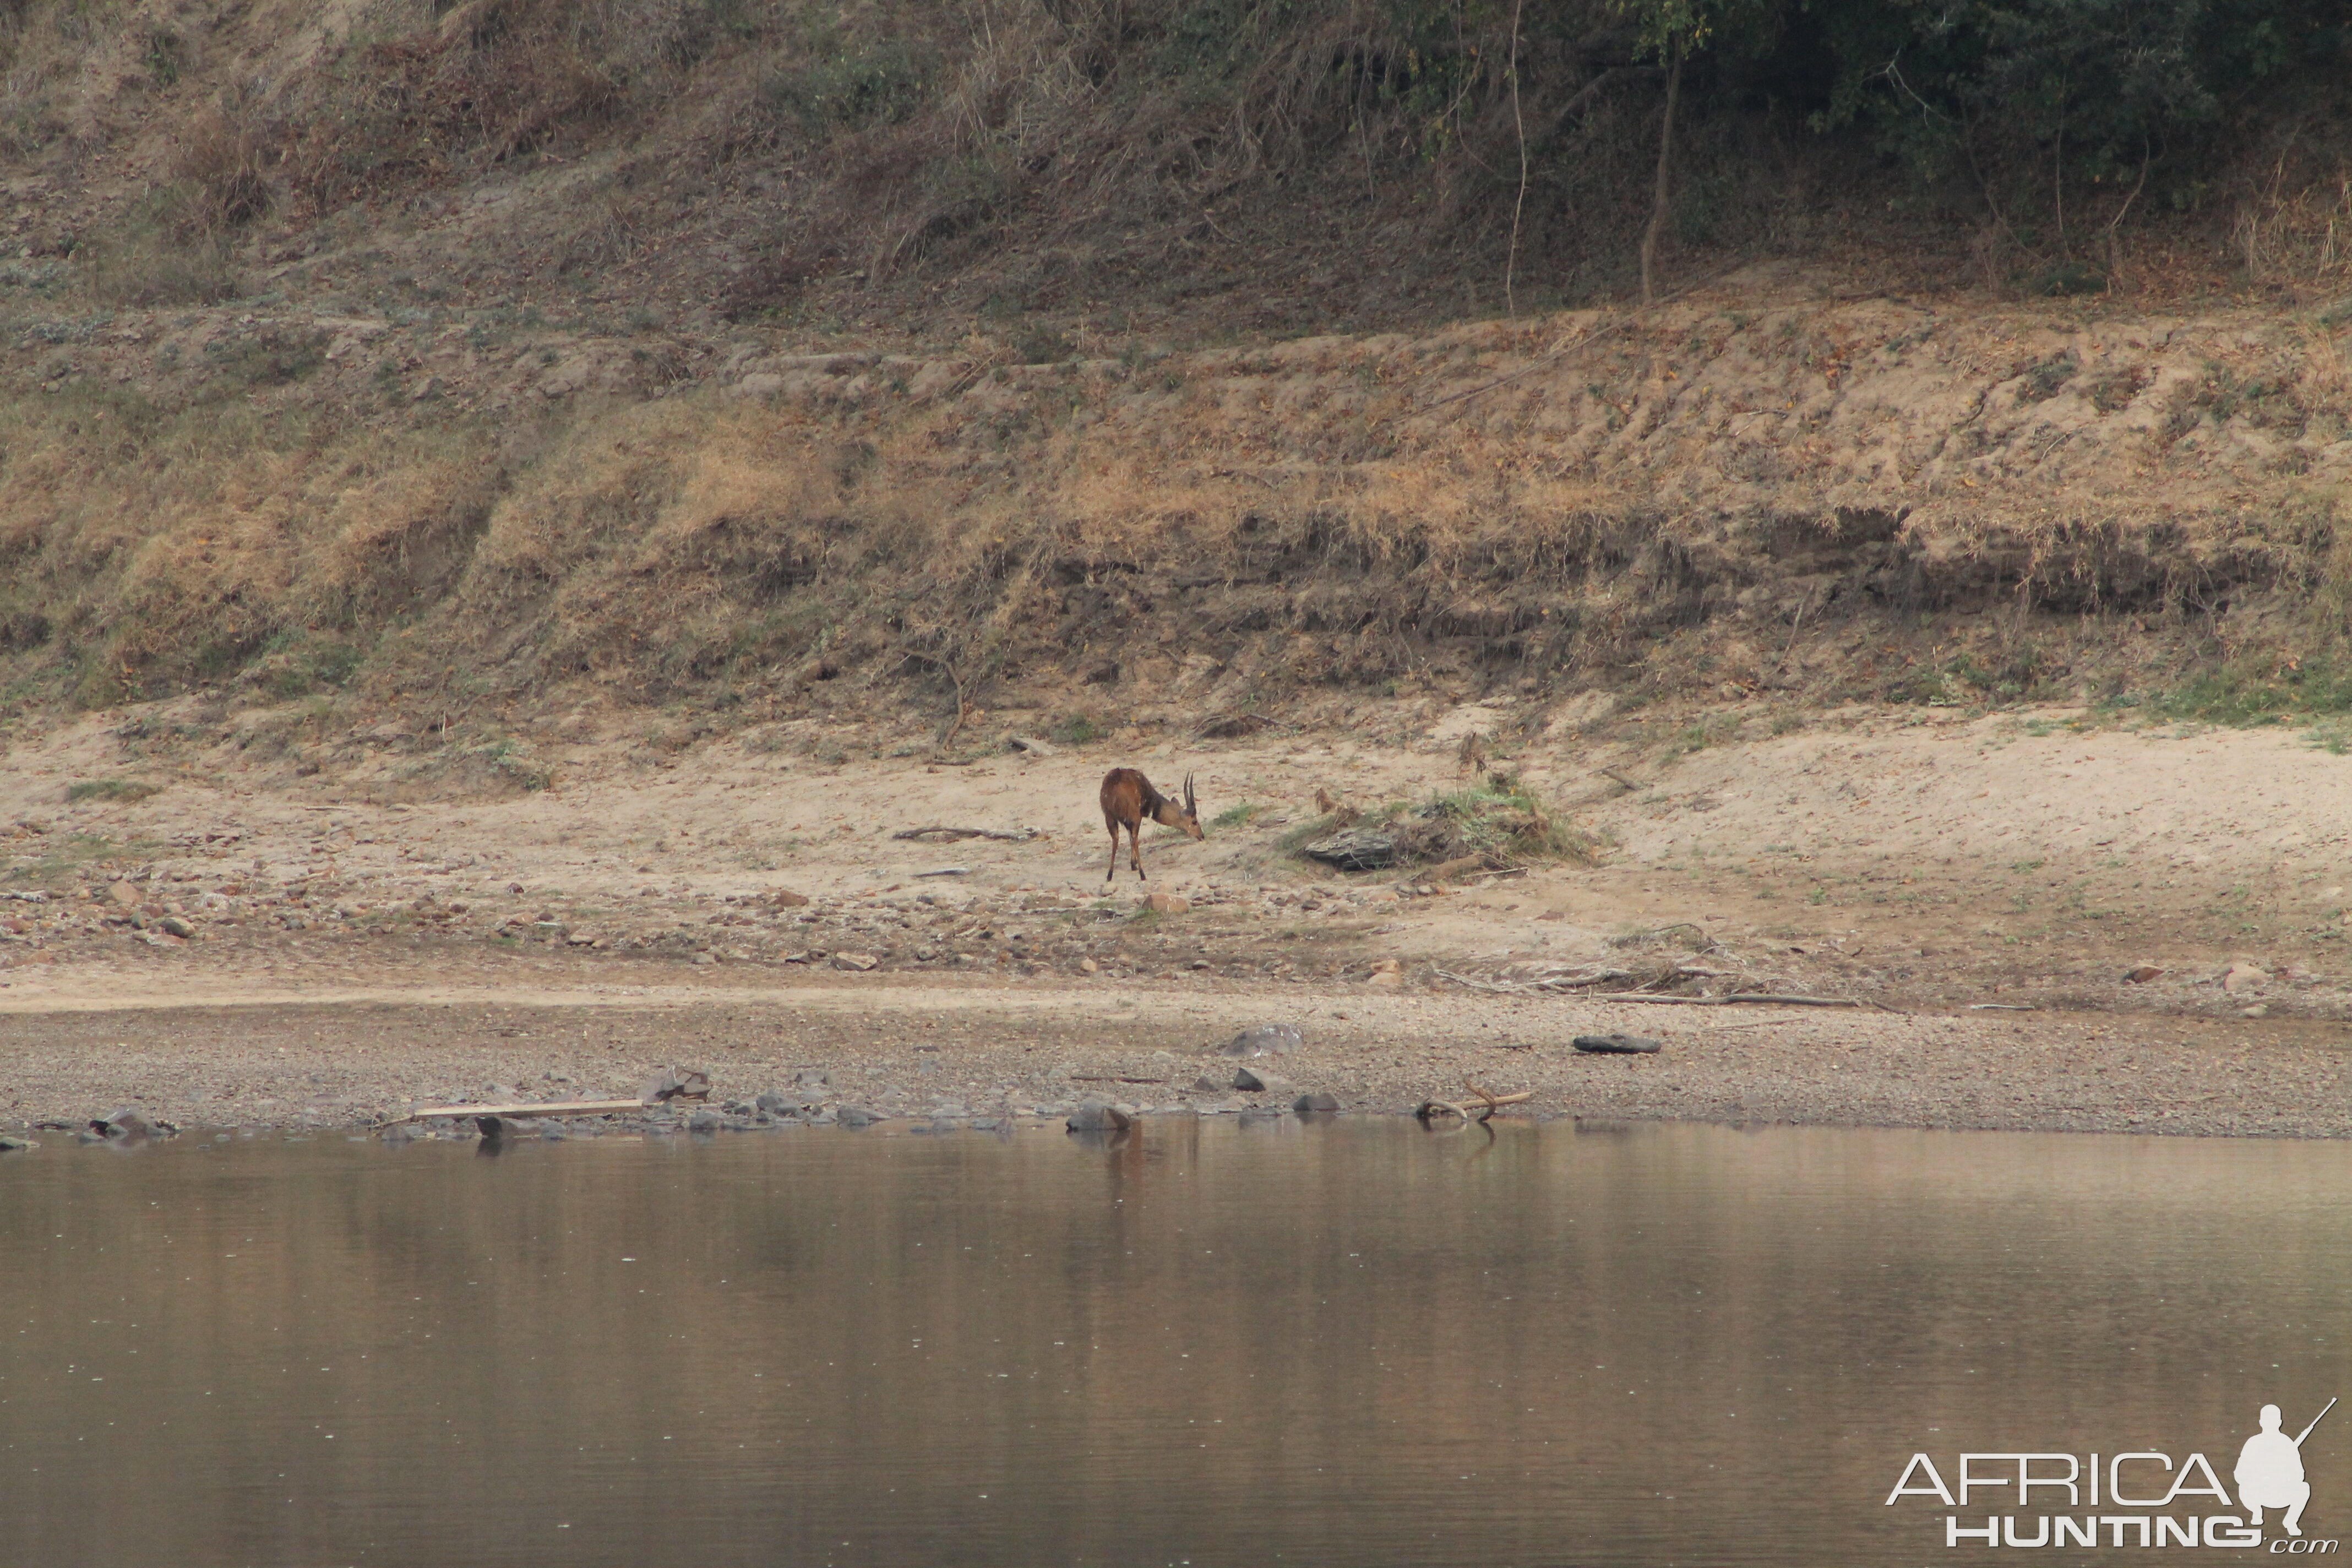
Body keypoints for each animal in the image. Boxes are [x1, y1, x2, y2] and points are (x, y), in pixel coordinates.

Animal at [1101, 771, 1204, 884]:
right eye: (1194, 821)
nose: (1202, 836)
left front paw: (1133, 865)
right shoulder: (1135, 817)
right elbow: (1133, 839)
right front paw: (1135, 866)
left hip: (1109, 817)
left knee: (1116, 839)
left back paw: (1109, 875)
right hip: (1134, 816)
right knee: (1135, 839)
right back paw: (1142, 875)